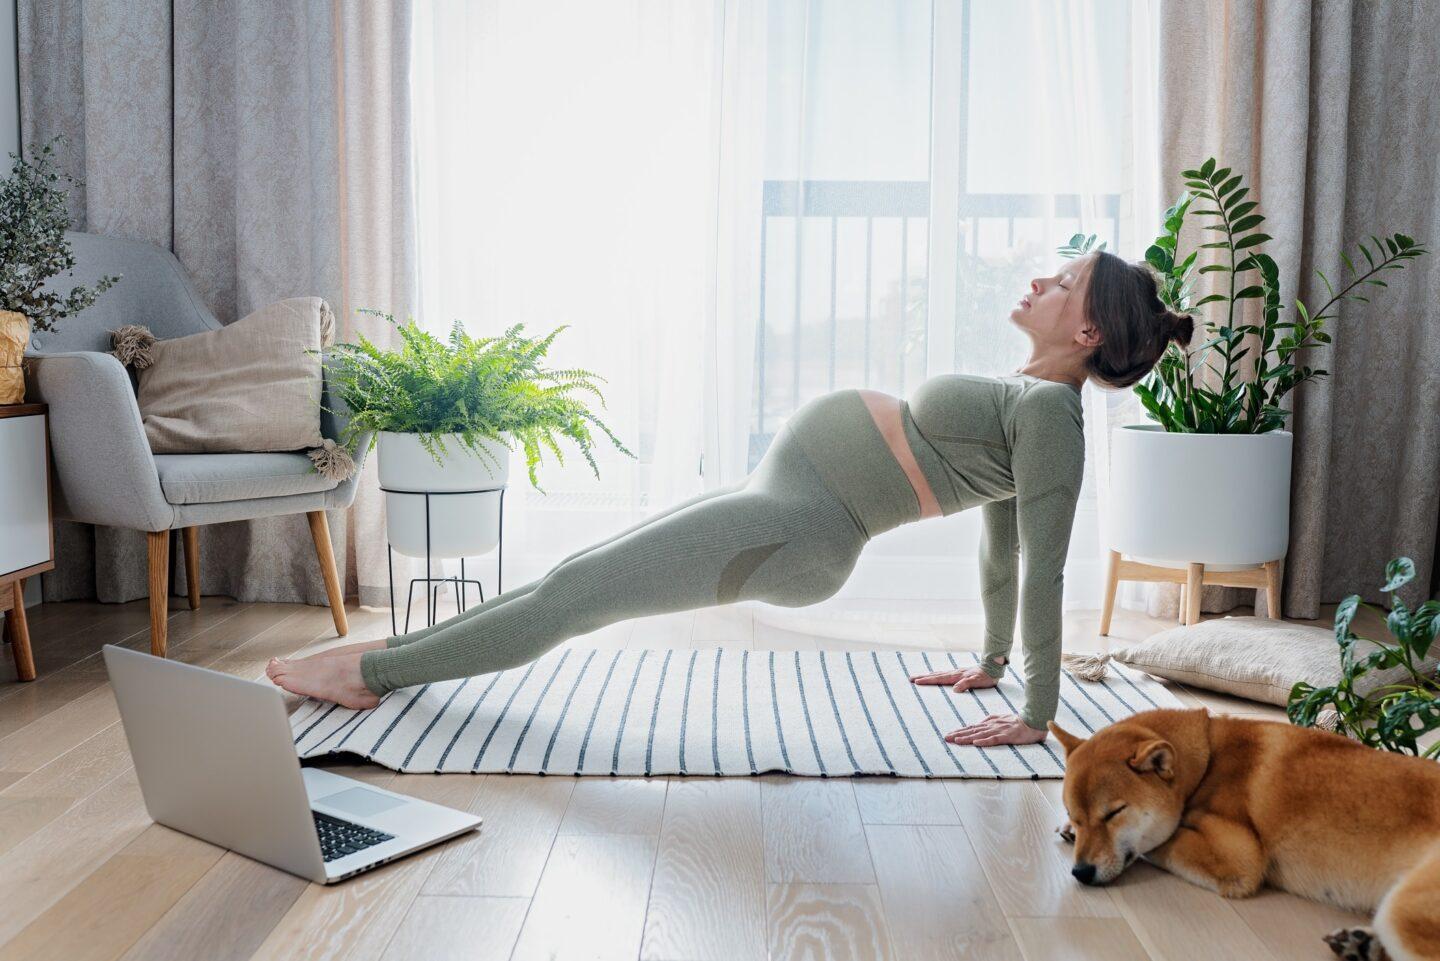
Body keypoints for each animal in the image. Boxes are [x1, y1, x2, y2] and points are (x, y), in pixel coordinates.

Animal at [1048, 705, 1440, 961]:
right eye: (1075, 815)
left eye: (1113, 813)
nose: (1080, 873)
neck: (1207, 760)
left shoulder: (1238, 856)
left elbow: (1163, 838)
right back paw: (1362, 943)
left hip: (1403, 910)